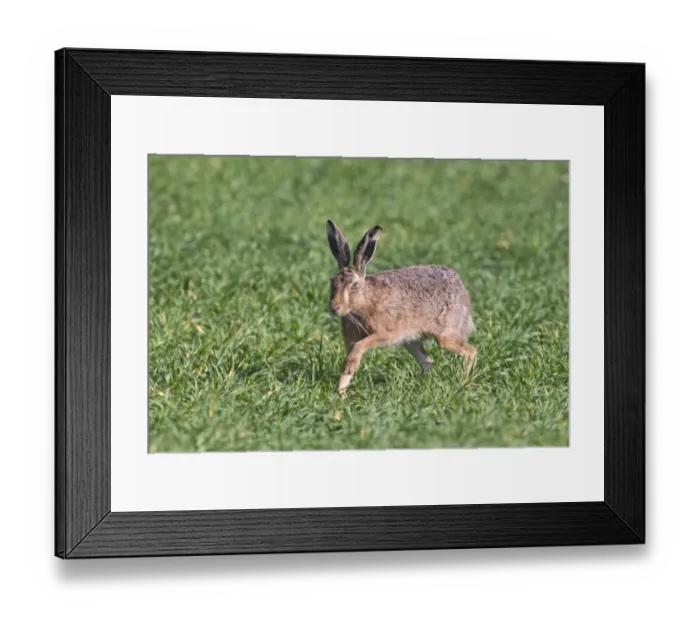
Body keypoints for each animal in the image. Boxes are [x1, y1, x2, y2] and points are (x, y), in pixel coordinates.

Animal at [326, 220, 477, 395]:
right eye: (333, 282)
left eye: (354, 286)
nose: (334, 308)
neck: (365, 300)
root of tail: (462, 290)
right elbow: (350, 362)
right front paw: (341, 393)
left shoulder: (385, 333)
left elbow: (359, 349)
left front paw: (341, 392)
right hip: (411, 342)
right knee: (427, 362)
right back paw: (421, 386)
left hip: (446, 336)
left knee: (471, 352)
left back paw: (465, 382)